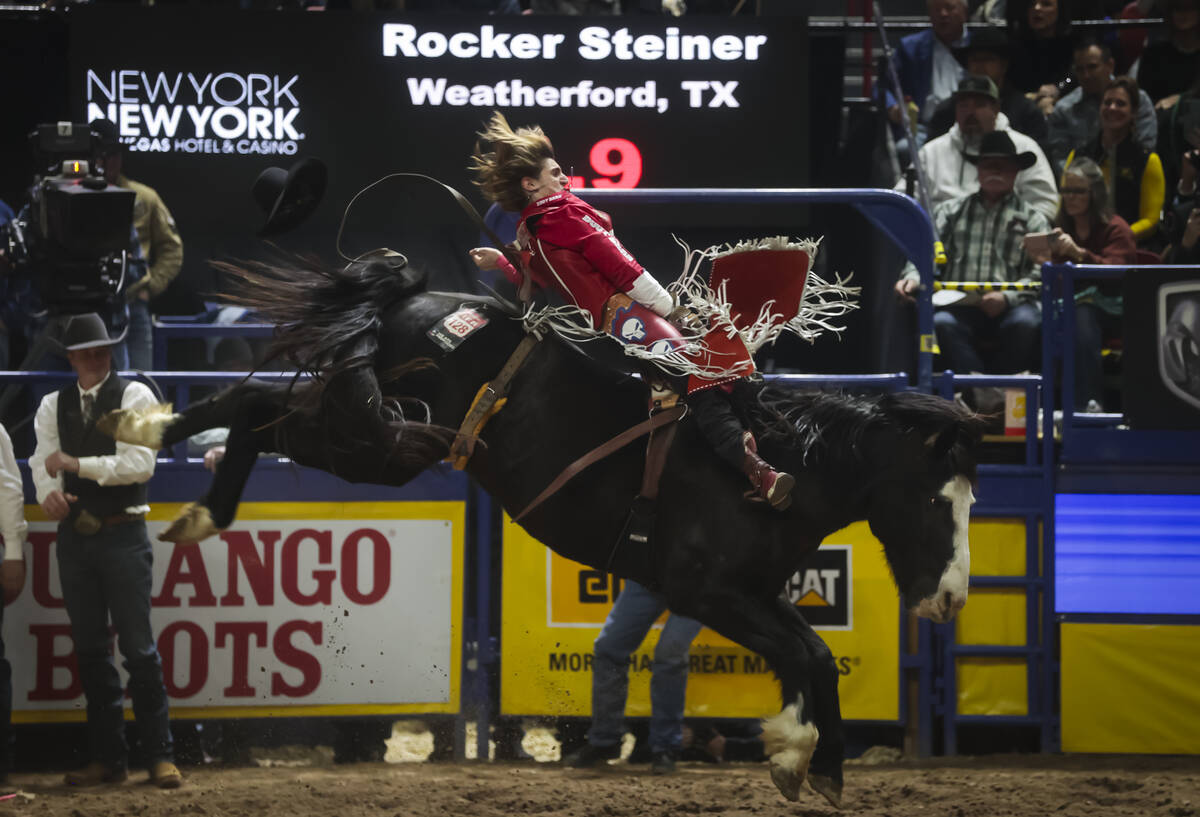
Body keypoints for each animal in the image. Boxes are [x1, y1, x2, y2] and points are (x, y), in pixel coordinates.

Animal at [100, 254, 984, 801]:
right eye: (936, 502)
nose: (950, 598)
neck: (771, 464)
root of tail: (415, 297)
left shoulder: (752, 594)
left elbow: (817, 656)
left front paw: (813, 760)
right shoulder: (709, 590)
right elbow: (804, 654)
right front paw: (799, 753)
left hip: (380, 440)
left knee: (250, 409)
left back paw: (169, 465)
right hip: (380, 441)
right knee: (251, 405)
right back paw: (158, 446)